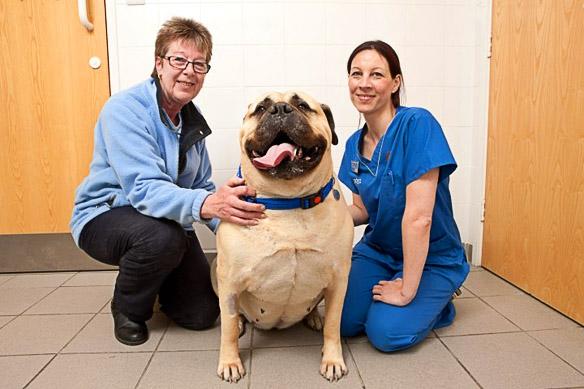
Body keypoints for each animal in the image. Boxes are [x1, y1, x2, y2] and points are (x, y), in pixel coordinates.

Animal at [213, 91, 354, 382]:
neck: (287, 201)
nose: (279, 109)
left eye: (302, 106)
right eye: (260, 108)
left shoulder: (338, 280)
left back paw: (313, 318)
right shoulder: (229, 281)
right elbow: (228, 326)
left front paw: (332, 359)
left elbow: (333, 325)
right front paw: (230, 362)